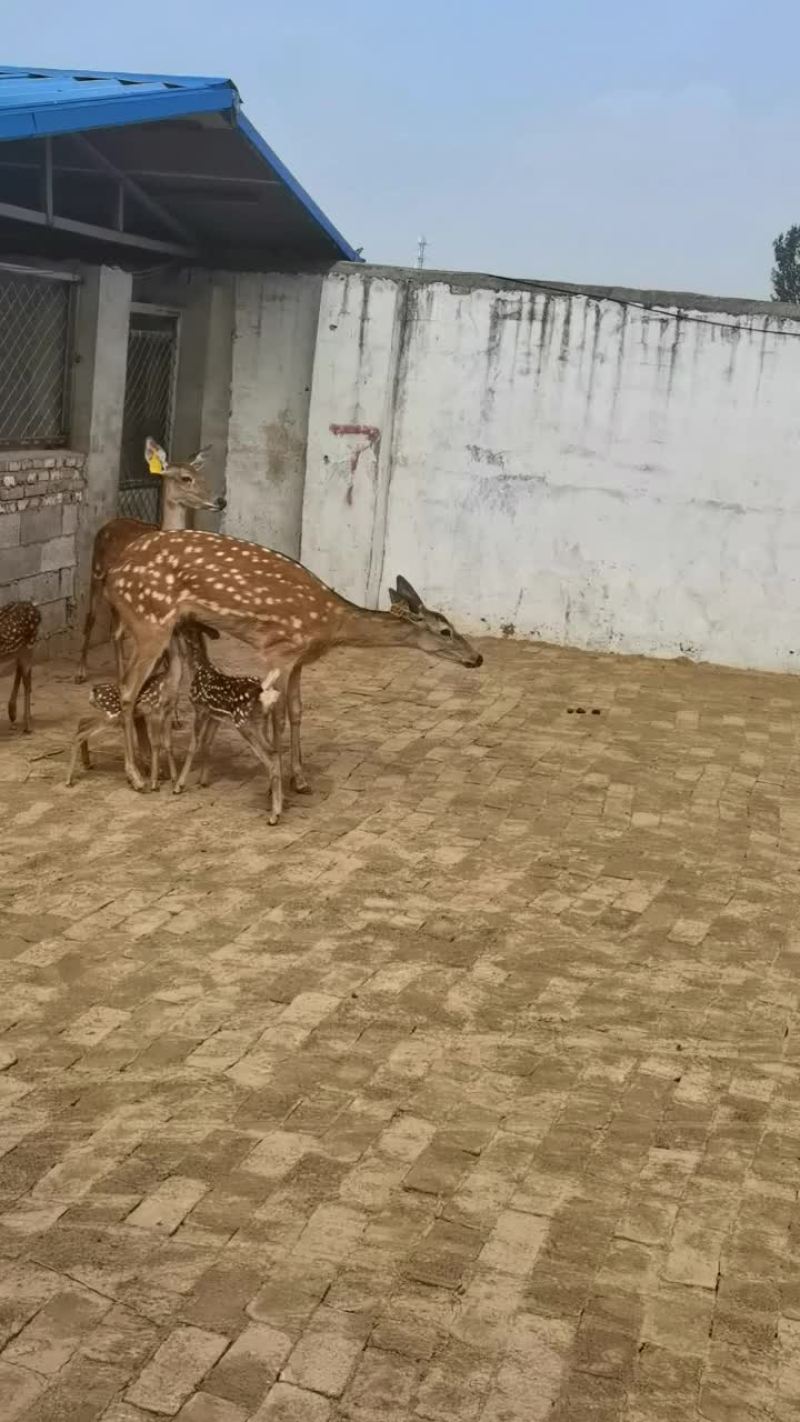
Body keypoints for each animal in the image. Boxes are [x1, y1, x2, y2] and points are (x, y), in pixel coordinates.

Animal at [1, 601, 41, 734]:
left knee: (26, 679)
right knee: (23, 673)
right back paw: (17, 715)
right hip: (22, 649)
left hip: (29, 645)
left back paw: (26, 724)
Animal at [76, 437, 226, 683]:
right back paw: (82, 672)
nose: (221, 501)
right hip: (95, 573)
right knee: (93, 620)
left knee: (114, 628)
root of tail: (108, 525)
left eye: (203, 475)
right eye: (186, 478)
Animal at [101, 529, 483, 794]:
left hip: (172, 631)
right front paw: (280, 778)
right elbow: (279, 717)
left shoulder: (299, 659)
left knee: (164, 697)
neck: (332, 624)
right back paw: (136, 777)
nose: (477, 658)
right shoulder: (280, 649)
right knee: (128, 689)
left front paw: (299, 779)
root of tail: (111, 575)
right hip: (148, 621)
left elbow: (297, 712)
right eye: (446, 631)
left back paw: (162, 772)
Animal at [171, 621, 283, 824]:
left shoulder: (200, 709)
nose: (172, 627)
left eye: (182, 624)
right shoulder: (216, 716)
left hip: (244, 723)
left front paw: (179, 786)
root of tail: (263, 692)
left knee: (270, 758)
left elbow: (194, 745)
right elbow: (207, 743)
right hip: (263, 723)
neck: (197, 668)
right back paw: (274, 798)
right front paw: (203, 780)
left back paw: (274, 816)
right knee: (276, 752)